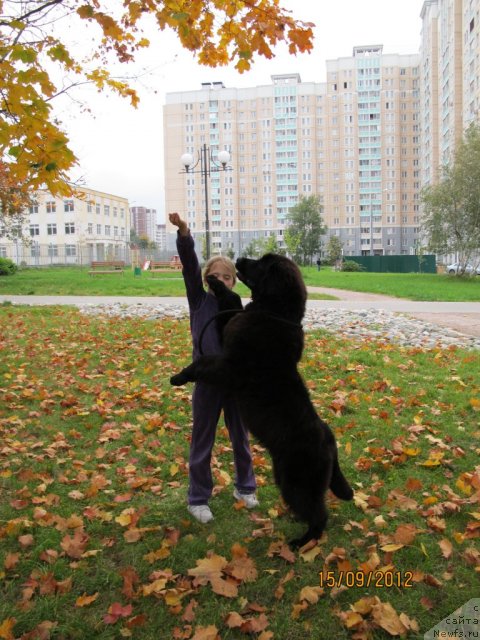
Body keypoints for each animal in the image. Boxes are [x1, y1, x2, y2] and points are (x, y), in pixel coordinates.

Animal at [170, 252, 352, 548]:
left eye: (262, 262)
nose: (240, 257)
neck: (272, 313)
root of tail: (329, 439)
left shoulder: (228, 365)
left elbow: (201, 364)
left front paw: (179, 376)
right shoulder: (227, 330)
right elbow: (232, 300)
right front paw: (215, 283)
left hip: (295, 482)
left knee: (319, 515)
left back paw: (300, 542)